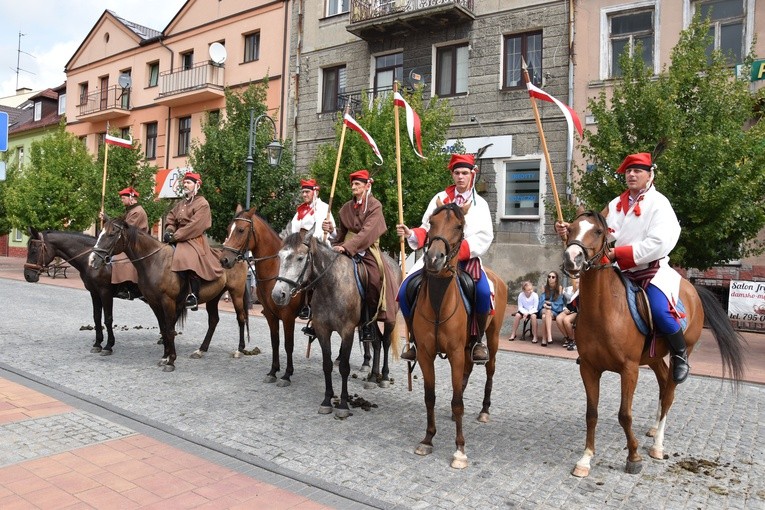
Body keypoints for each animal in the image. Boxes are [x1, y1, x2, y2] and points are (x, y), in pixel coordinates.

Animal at [87, 217, 248, 372]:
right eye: (100, 233)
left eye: (111, 234)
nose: (92, 260)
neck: (154, 262)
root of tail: (237, 256)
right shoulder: (154, 303)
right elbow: (163, 328)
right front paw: (165, 356)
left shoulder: (168, 302)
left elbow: (170, 330)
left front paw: (171, 361)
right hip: (214, 297)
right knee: (214, 320)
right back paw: (201, 350)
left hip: (236, 293)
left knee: (241, 318)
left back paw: (239, 349)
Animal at [270, 227, 400, 418]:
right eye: (279, 256)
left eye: (300, 258)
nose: (278, 294)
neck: (331, 284)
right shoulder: (323, 330)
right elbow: (327, 365)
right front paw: (327, 400)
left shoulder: (347, 332)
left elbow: (344, 367)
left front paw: (344, 405)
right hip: (371, 321)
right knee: (376, 343)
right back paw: (372, 377)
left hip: (390, 317)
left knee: (386, 342)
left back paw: (383, 377)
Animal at [406, 202, 508, 470]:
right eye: (432, 222)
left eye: (459, 226)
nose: (433, 258)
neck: (439, 302)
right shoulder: (426, 353)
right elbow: (430, 397)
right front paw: (428, 439)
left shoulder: (454, 352)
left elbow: (458, 402)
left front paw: (460, 449)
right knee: (466, 374)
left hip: (492, 338)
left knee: (489, 369)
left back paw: (484, 410)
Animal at [560, 208, 748, 478]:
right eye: (572, 228)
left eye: (597, 231)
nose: (571, 258)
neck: (604, 310)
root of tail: (693, 290)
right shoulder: (589, 368)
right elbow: (591, 413)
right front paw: (586, 458)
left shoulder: (629, 370)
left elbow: (625, 414)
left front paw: (634, 456)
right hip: (654, 357)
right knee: (662, 383)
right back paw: (655, 426)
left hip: (682, 352)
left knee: (669, 391)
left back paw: (658, 444)